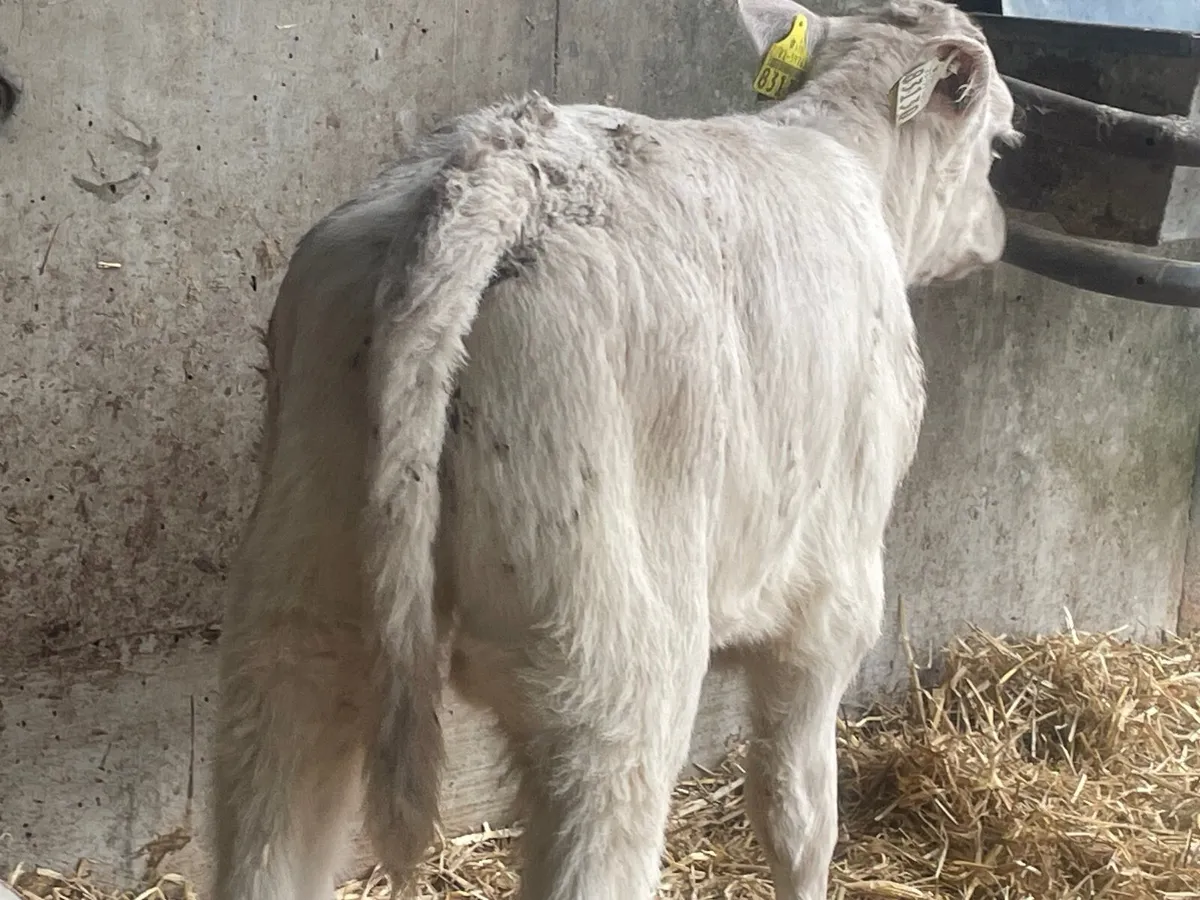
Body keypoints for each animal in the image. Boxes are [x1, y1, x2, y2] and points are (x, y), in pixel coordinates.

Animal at [212, 0, 1019, 898]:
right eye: (1000, 140)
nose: (998, 231)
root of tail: (497, 174)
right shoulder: (832, 601)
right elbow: (799, 813)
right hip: (614, 667)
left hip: (303, 587)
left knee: (278, 779)